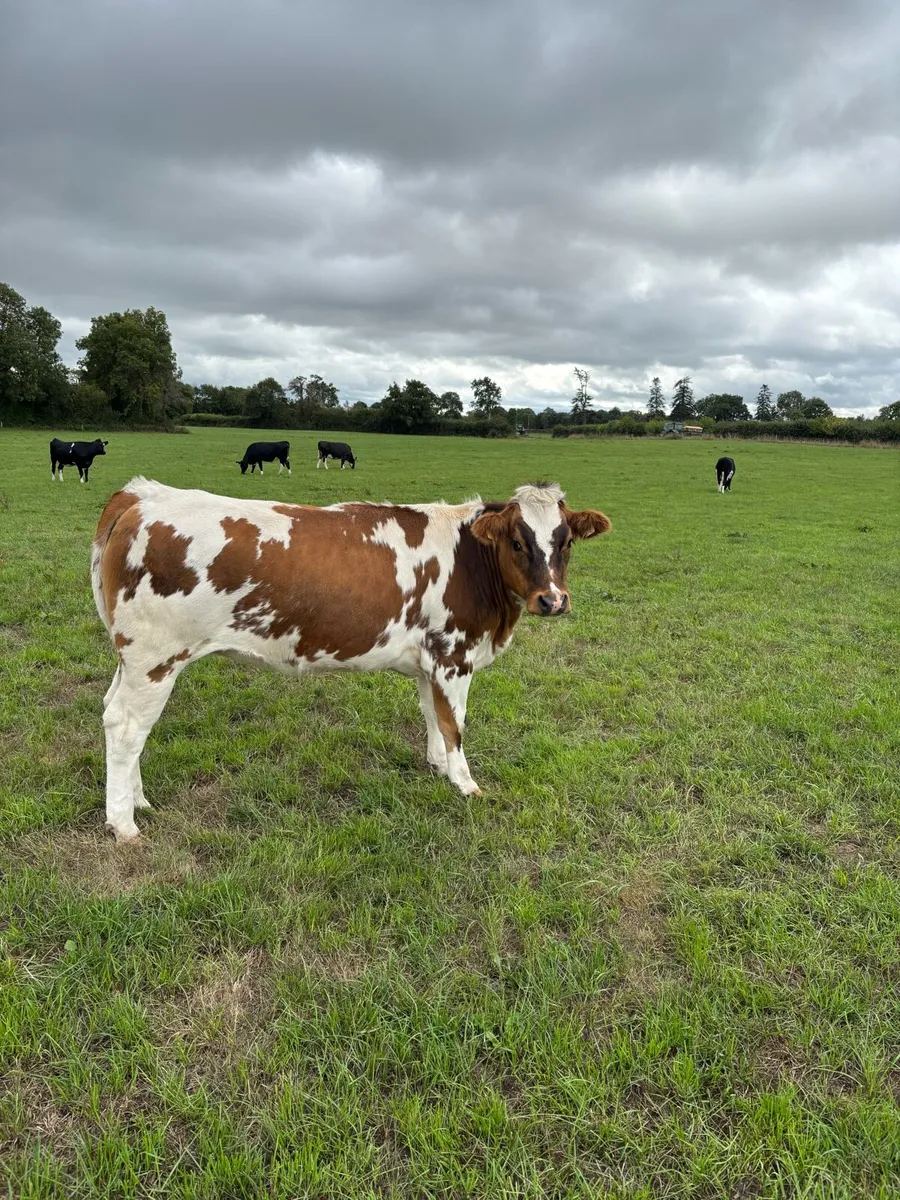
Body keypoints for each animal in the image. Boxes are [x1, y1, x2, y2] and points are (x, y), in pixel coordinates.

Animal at [91, 479, 610, 841]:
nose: (552, 600)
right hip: (156, 657)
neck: (472, 563)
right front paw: (465, 784)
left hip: (133, 660)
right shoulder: (453, 653)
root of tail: (141, 494)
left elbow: (431, 715)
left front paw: (438, 767)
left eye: (566, 542)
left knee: (115, 713)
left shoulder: (429, 660)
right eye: (517, 542)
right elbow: (454, 724)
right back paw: (124, 824)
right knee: (127, 727)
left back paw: (138, 803)